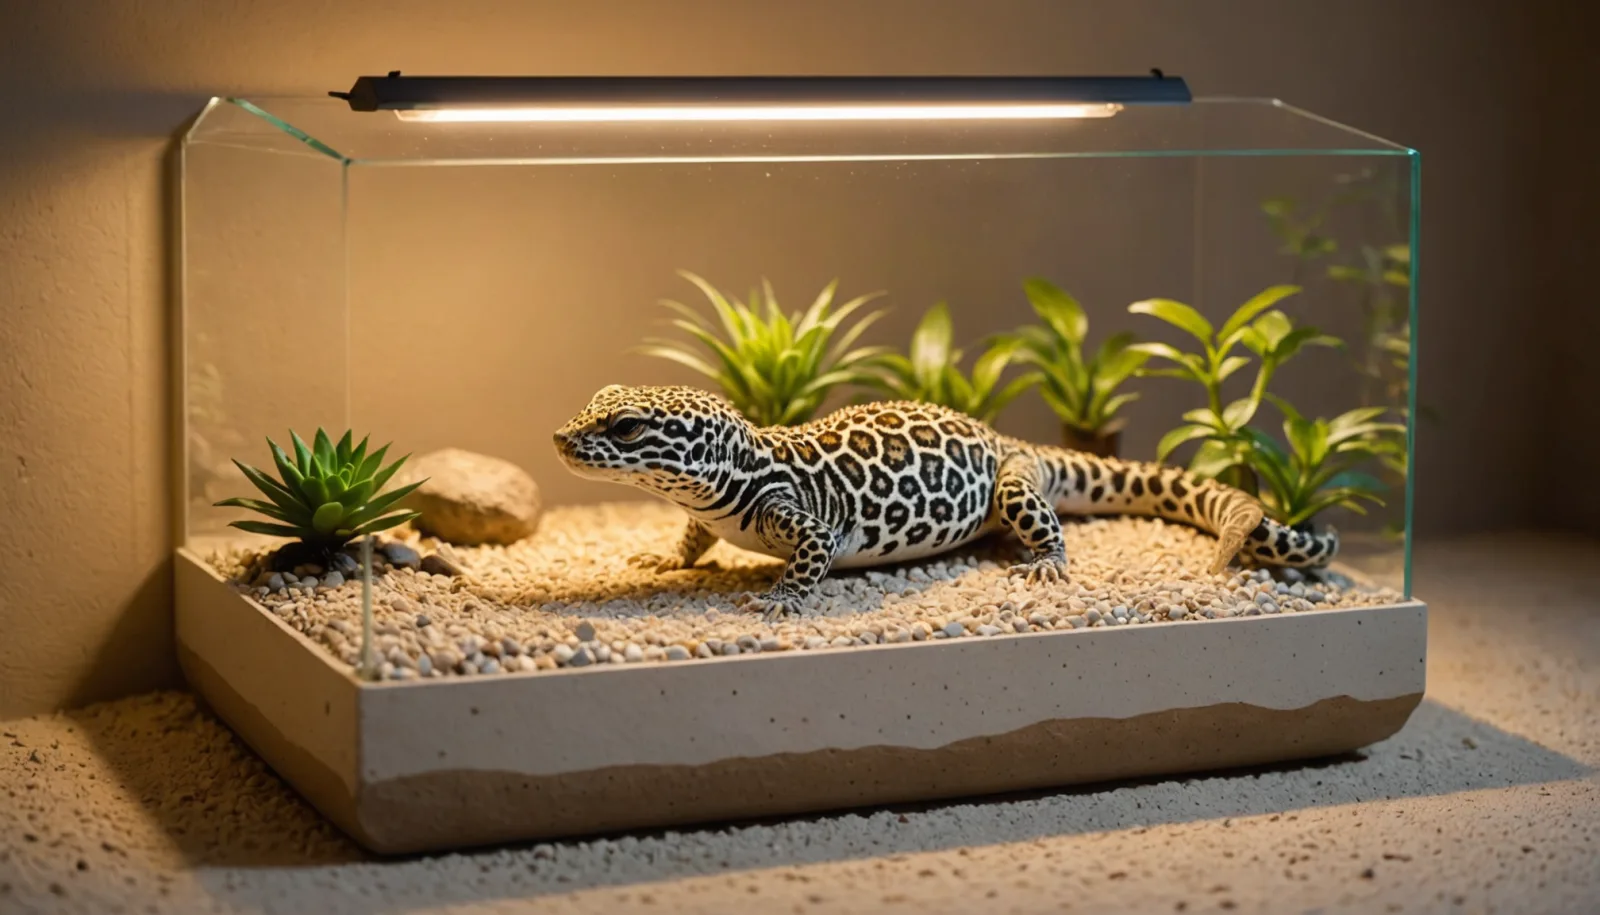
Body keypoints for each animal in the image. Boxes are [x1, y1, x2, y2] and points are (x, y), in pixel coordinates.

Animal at [553, 384, 1337, 618]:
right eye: (595, 400)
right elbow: (692, 540)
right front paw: (666, 556)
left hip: (1013, 480)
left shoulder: (809, 524)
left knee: (1035, 511)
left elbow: (810, 558)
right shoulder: (705, 512)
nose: (559, 436)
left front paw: (780, 598)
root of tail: (1006, 437)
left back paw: (1046, 557)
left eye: (625, 427)